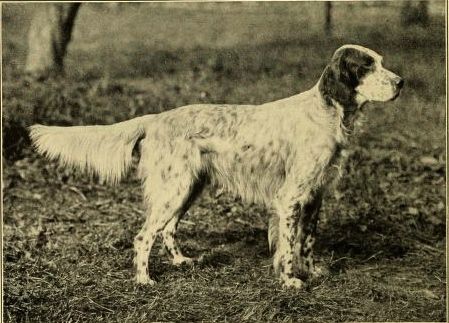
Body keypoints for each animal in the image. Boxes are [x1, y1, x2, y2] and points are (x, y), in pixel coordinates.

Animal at [28, 45, 402, 288]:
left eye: (382, 62)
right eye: (366, 65)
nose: (401, 82)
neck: (325, 112)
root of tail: (156, 118)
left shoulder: (315, 196)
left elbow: (307, 242)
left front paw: (313, 272)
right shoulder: (290, 199)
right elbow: (287, 246)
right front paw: (290, 281)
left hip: (188, 188)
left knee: (167, 230)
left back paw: (181, 262)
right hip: (174, 188)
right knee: (144, 235)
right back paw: (144, 279)